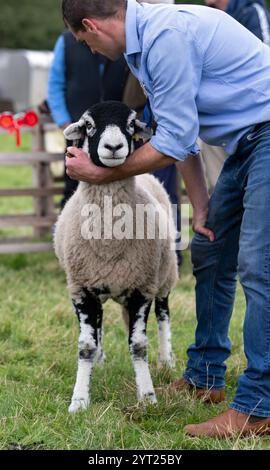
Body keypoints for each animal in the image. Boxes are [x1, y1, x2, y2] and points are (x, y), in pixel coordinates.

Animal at [53, 101, 178, 414]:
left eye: (131, 123)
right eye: (88, 124)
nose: (113, 146)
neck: (108, 242)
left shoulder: (142, 289)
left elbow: (139, 345)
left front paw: (147, 396)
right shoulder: (82, 289)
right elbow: (86, 346)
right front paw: (79, 400)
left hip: (165, 275)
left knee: (163, 315)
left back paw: (167, 360)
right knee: (98, 327)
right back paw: (100, 361)